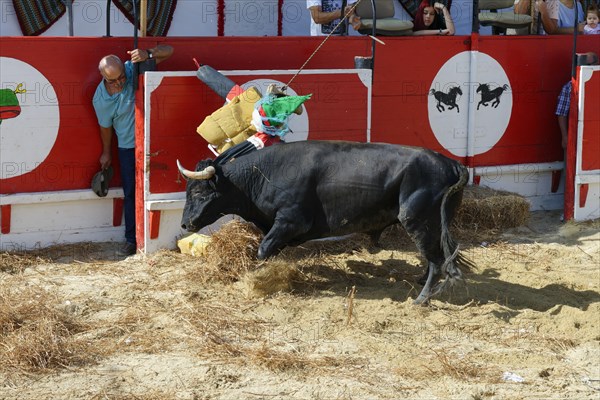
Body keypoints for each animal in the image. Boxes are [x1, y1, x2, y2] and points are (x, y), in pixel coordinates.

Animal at [178, 141, 474, 304]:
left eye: (199, 192)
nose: (184, 225)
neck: (264, 174)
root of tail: (452, 164)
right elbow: (270, 250)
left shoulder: (291, 221)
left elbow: (263, 249)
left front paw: (260, 279)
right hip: (434, 226)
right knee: (439, 256)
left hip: (418, 221)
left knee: (436, 259)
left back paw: (422, 298)